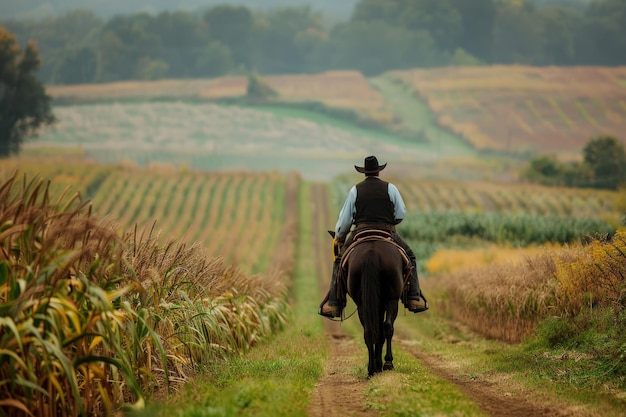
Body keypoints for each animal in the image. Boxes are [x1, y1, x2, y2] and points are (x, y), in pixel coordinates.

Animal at [344, 237, 402, 376]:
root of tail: (372, 253)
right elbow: (382, 332)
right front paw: (382, 364)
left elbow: (378, 333)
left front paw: (377, 365)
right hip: (392, 300)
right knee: (388, 326)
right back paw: (387, 363)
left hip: (362, 304)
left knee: (369, 331)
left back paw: (371, 370)